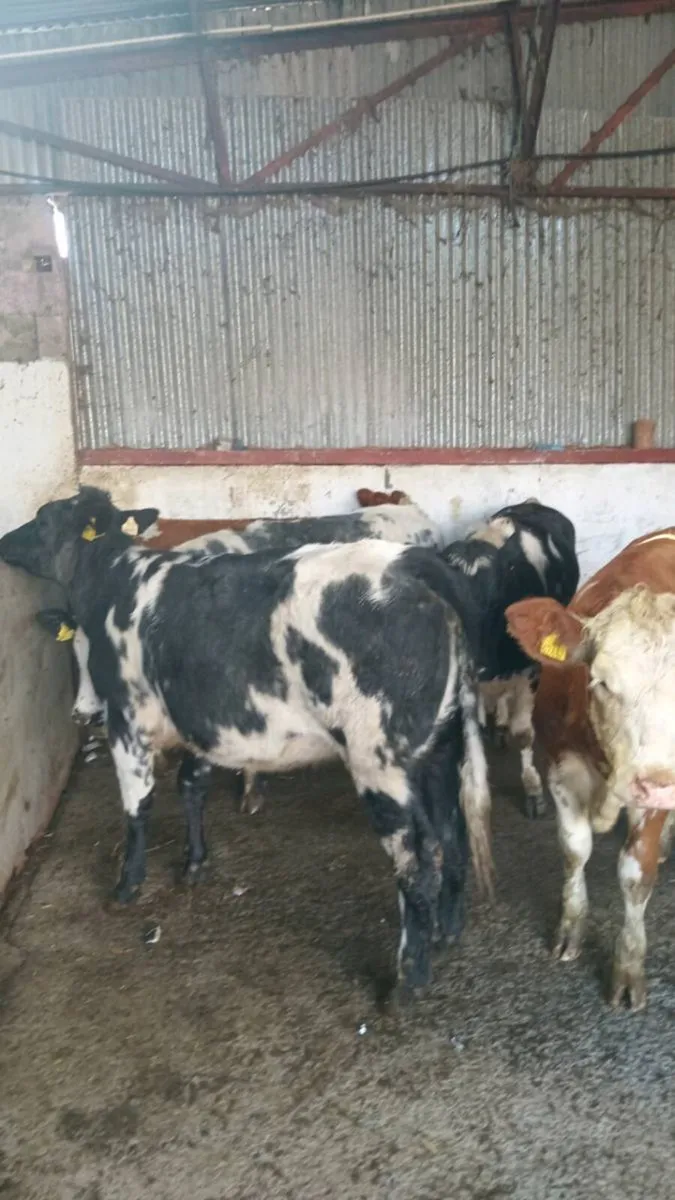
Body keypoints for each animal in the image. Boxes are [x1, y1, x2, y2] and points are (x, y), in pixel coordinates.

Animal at [0, 488, 492, 997]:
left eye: (42, 519)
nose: (3, 542)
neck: (117, 583)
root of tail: (412, 565)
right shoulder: (201, 719)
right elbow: (191, 786)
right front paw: (194, 863)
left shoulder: (127, 720)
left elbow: (137, 808)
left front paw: (126, 885)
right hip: (439, 745)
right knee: (452, 833)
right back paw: (446, 933)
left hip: (380, 761)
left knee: (417, 859)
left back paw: (408, 980)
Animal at [505, 526, 675, 1009]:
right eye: (599, 681)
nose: (661, 786)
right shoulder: (560, 765)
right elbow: (574, 848)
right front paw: (570, 929)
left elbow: (636, 873)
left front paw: (627, 967)